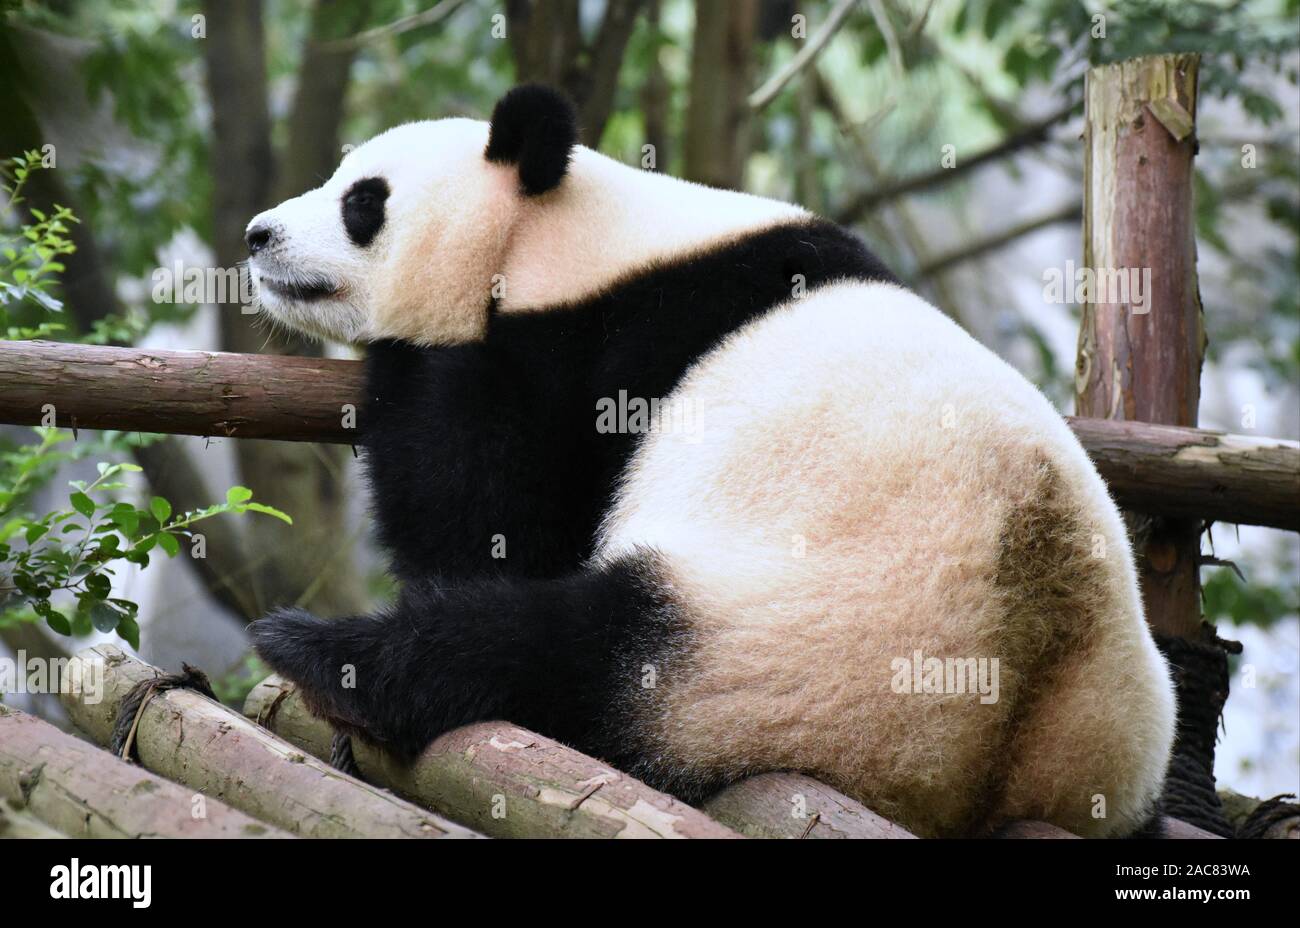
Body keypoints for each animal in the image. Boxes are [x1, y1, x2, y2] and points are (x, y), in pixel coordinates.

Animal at [245, 88, 1180, 837]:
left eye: (363, 200)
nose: (258, 234)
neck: (568, 234)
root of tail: (999, 767)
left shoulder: (600, 364)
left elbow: (487, 518)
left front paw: (400, 358)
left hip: (791, 650)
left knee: (562, 650)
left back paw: (322, 654)